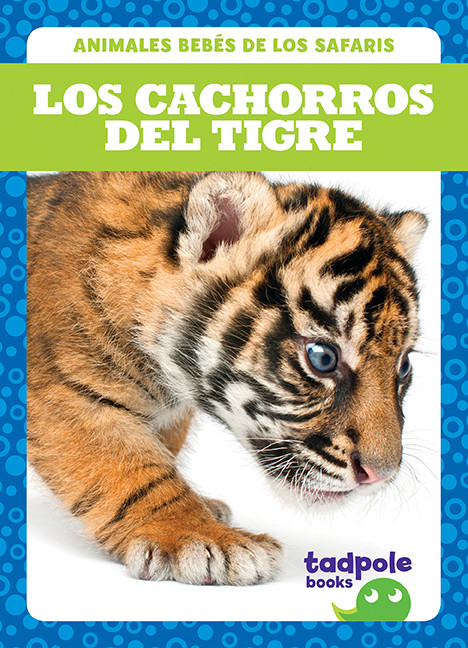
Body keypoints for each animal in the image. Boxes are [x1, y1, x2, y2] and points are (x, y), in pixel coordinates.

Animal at [27, 171, 427, 586]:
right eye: (322, 358)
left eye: (403, 366)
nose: (379, 476)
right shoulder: (62, 393)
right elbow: (130, 469)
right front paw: (203, 538)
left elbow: (159, 452)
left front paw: (204, 512)